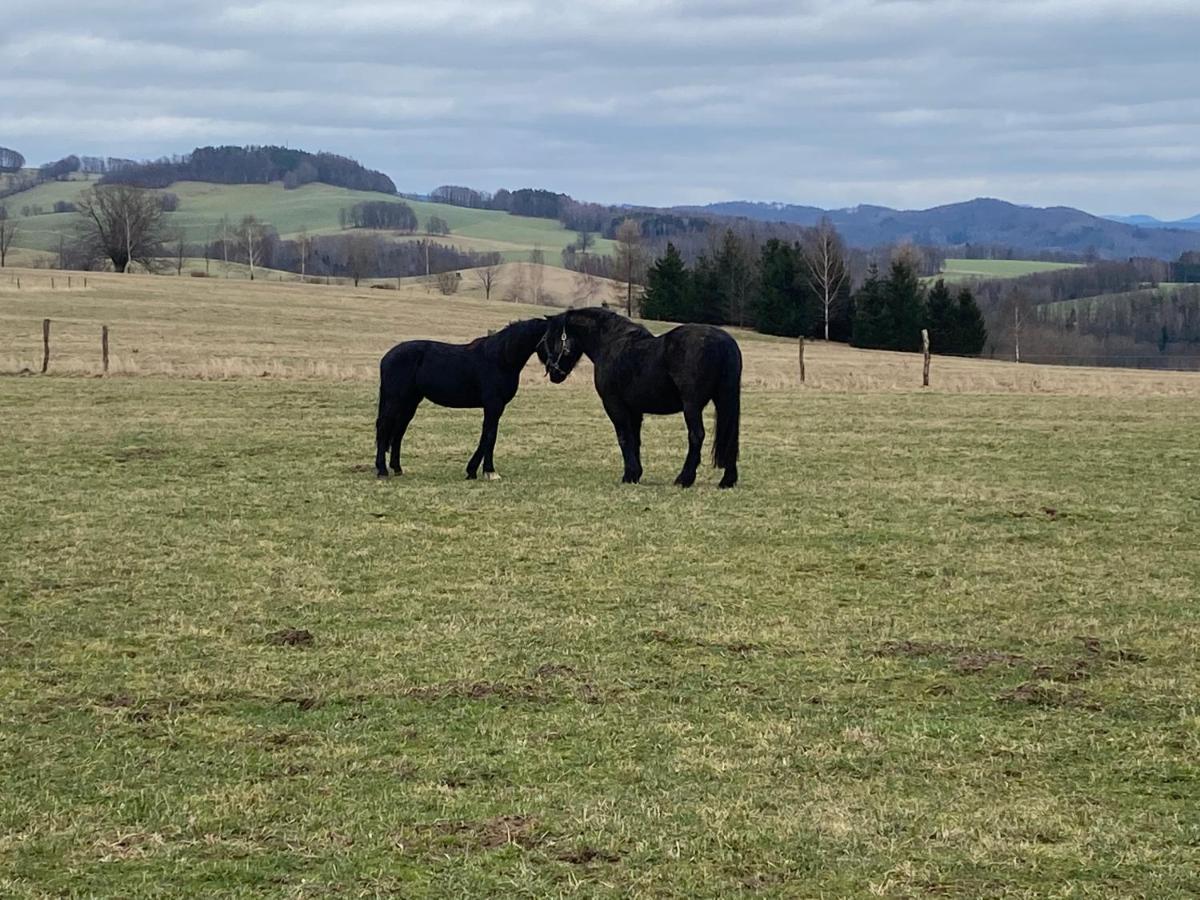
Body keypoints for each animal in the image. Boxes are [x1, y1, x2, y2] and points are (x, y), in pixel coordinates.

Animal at [372, 321, 547, 482]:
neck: (500, 359)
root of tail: (387, 357)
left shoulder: (496, 407)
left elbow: (488, 434)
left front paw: (475, 471)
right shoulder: (494, 404)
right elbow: (490, 435)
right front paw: (488, 471)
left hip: (409, 402)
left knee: (399, 431)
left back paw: (397, 468)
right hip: (395, 400)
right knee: (384, 428)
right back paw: (382, 471)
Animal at [537, 309, 739, 494]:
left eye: (550, 339)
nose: (553, 373)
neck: (610, 343)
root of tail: (724, 342)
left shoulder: (614, 405)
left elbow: (624, 438)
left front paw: (629, 475)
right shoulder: (634, 410)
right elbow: (635, 440)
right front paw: (636, 474)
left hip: (692, 407)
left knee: (696, 435)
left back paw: (684, 479)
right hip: (723, 401)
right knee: (730, 437)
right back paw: (727, 480)